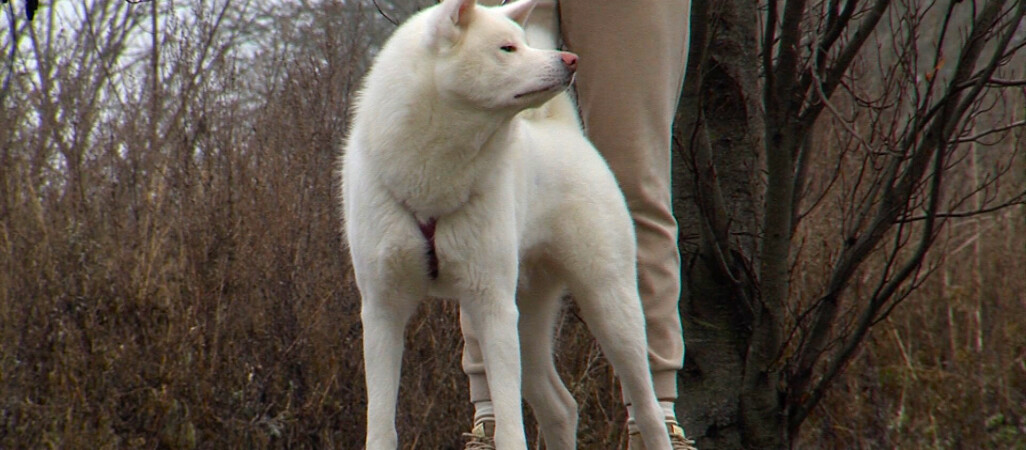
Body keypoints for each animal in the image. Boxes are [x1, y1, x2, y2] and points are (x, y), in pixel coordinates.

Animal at [340, 1, 668, 448]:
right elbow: (381, 422)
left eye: (523, 43)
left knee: (647, 409)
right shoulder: (382, 309)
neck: (431, 177)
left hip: (609, 304)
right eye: (507, 48)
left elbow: (511, 424)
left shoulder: (492, 304)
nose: (570, 60)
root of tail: (564, 131)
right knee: (561, 408)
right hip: (528, 319)